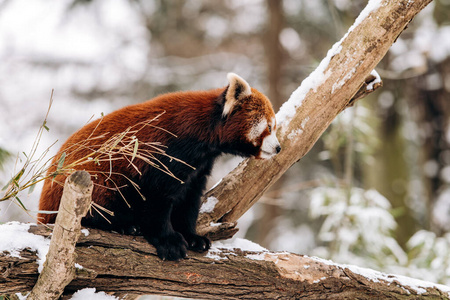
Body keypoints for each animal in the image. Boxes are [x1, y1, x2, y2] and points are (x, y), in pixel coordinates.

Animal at [40, 73, 284, 260]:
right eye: (269, 128)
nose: (279, 148)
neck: (205, 135)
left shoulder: (199, 167)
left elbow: (189, 200)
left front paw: (192, 237)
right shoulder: (165, 152)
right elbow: (157, 198)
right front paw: (169, 241)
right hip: (95, 176)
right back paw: (122, 224)